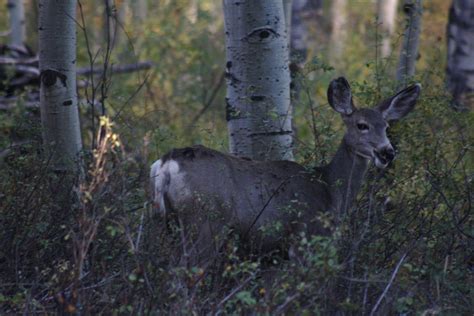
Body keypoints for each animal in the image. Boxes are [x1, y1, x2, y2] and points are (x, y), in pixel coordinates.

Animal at [150, 78, 420, 266]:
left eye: (386, 126)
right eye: (361, 125)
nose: (387, 153)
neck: (330, 190)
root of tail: (166, 162)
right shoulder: (305, 238)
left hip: (170, 223)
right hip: (205, 222)